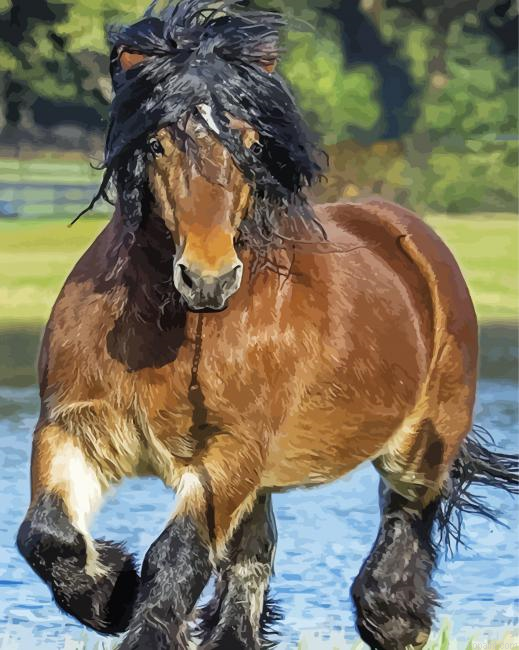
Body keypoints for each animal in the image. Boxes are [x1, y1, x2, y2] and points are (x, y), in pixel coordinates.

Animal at [17, 2, 518, 649]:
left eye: (250, 141)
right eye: (156, 142)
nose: (208, 278)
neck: (161, 331)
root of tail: (410, 235)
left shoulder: (230, 455)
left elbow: (176, 558)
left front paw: (131, 604)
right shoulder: (72, 426)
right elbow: (46, 535)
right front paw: (113, 594)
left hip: (419, 443)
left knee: (406, 516)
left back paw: (391, 615)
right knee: (251, 563)